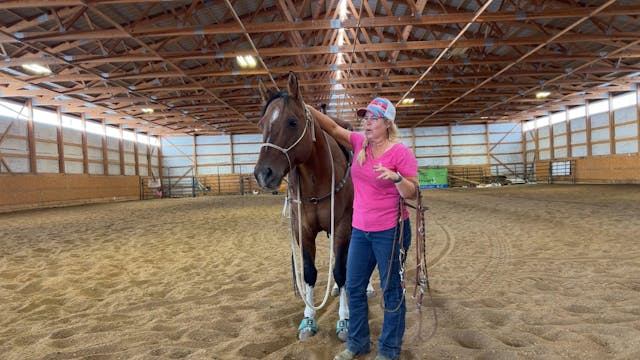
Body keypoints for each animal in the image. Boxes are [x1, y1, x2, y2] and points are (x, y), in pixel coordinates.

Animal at [254, 72, 356, 340]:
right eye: (261, 124)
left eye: (292, 122)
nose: (263, 174)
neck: (317, 178)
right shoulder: (303, 230)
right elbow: (310, 273)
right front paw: (309, 319)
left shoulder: (342, 226)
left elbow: (341, 271)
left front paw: (344, 321)